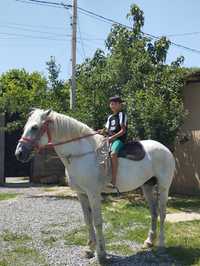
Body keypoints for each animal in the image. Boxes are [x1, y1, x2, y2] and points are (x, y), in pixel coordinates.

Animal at [15, 108, 175, 264]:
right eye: (25, 127)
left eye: (35, 127)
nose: (19, 153)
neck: (81, 155)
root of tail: (165, 149)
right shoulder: (81, 194)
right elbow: (88, 220)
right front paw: (89, 249)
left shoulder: (93, 194)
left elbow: (97, 221)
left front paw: (101, 254)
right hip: (147, 187)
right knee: (154, 212)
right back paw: (149, 242)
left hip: (163, 187)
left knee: (162, 213)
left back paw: (161, 244)